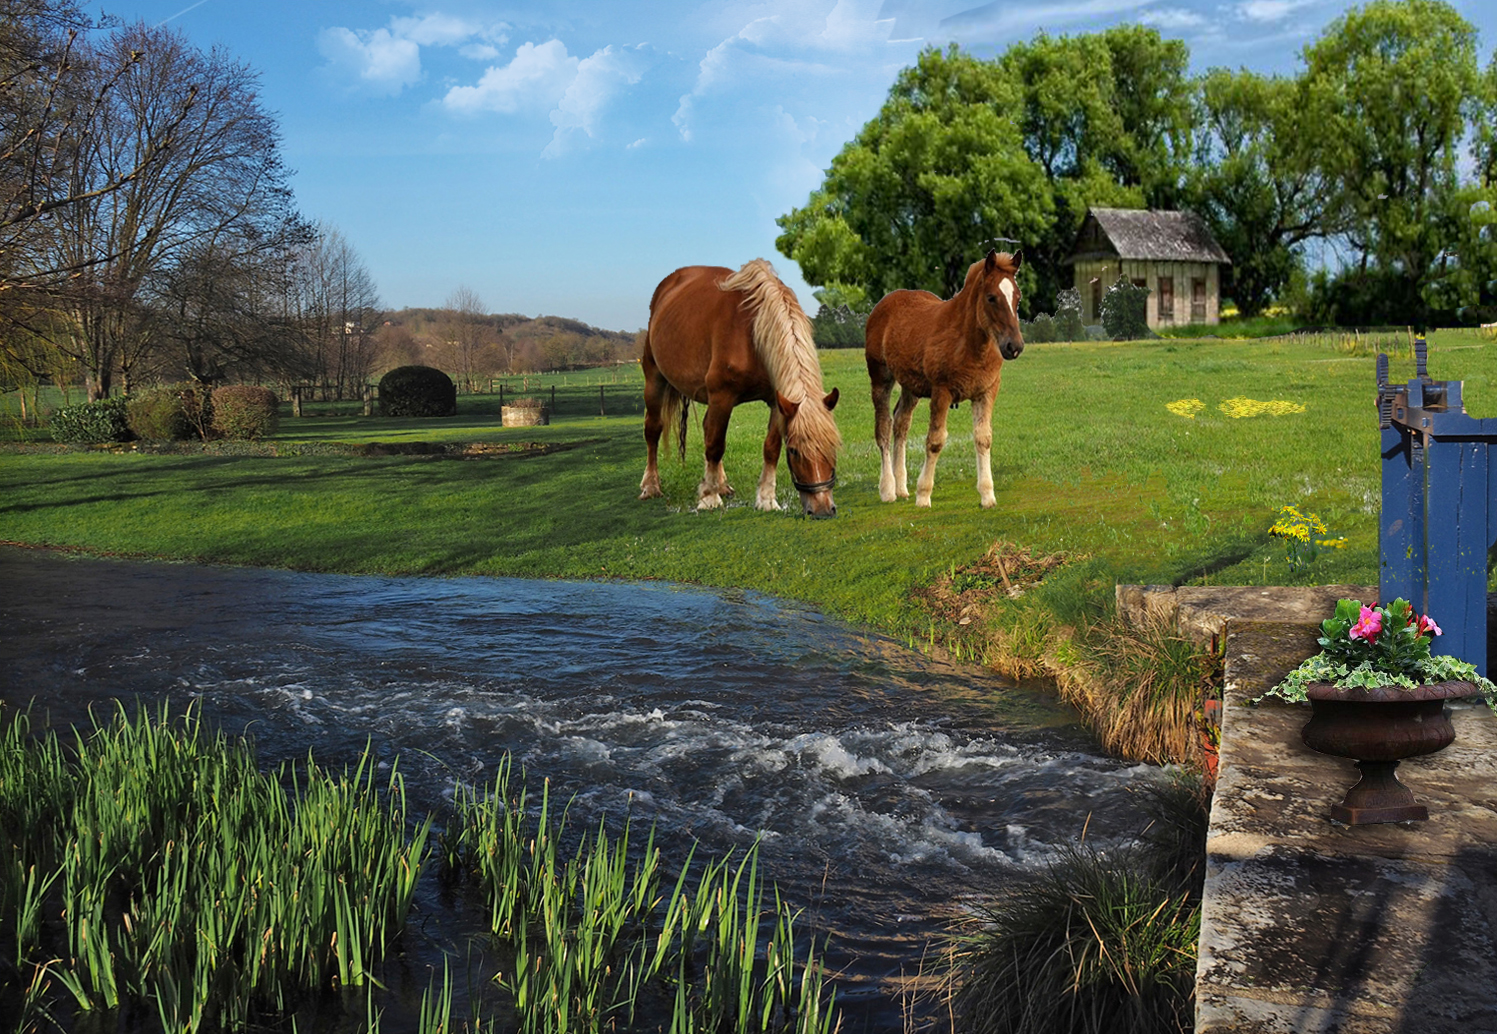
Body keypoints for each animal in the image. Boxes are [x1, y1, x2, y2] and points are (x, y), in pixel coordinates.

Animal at [637, 258, 844, 517]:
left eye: (833, 446)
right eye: (794, 451)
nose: (823, 509)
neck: (753, 332)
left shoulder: (777, 401)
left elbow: (770, 448)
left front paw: (766, 499)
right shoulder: (722, 397)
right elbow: (715, 445)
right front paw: (709, 497)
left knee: (706, 428)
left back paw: (722, 484)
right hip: (655, 380)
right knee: (653, 430)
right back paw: (651, 486)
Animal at [862, 251, 1023, 508]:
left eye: (1017, 297)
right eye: (991, 298)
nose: (1014, 347)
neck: (968, 343)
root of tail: (884, 304)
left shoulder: (986, 391)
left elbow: (983, 438)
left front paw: (987, 495)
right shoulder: (941, 392)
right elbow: (935, 440)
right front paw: (923, 495)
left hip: (911, 386)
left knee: (901, 422)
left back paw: (901, 487)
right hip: (880, 377)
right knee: (884, 427)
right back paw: (887, 490)